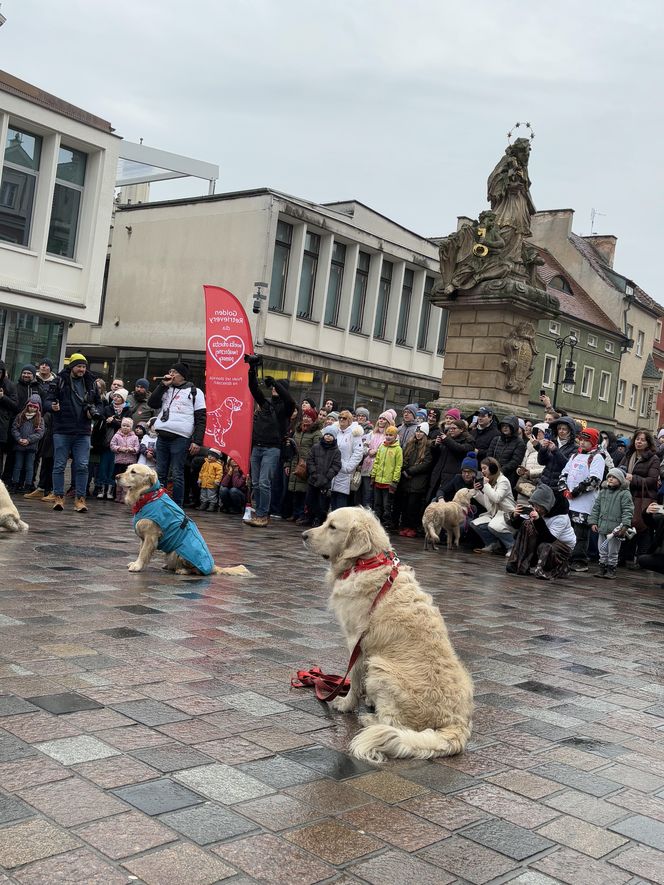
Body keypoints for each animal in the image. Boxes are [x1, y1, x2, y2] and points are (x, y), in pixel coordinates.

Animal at [116, 460, 249, 576]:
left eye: (133, 472)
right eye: (127, 469)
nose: (116, 477)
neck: (148, 497)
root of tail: (212, 567)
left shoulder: (151, 536)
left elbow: (143, 552)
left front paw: (137, 566)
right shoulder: (143, 537)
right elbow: (141, 550)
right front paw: (136, 563)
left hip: (178, 552)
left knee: (196, 571)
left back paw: (182, 570)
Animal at [300, 508, 472, 764]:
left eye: (332, 527)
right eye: (325, 521)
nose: (303, 535)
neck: (367, 563)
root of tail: (456, 724)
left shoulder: (357, 642)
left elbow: (354, 677)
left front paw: (346, 703)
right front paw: (367, 699)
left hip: (381, 666)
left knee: (393, 722)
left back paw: (369, 720)